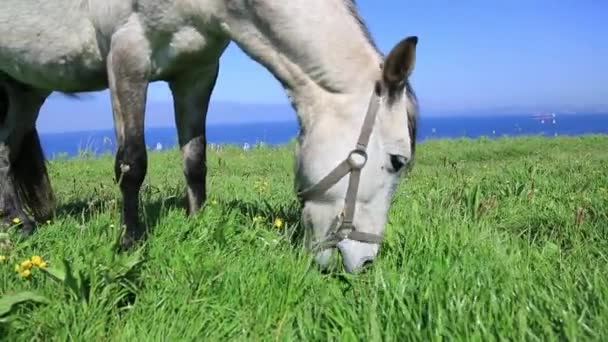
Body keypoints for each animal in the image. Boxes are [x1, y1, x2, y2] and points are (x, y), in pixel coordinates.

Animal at [0, 0, 418, 272]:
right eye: (397, 161)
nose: (365, 262)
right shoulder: (127, 56)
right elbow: (132, 163)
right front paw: (131, 242)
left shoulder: (197, 73)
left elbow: (195, 160)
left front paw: (198, 222)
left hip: (26, 87)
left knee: (6, 145)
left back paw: (19, 222)